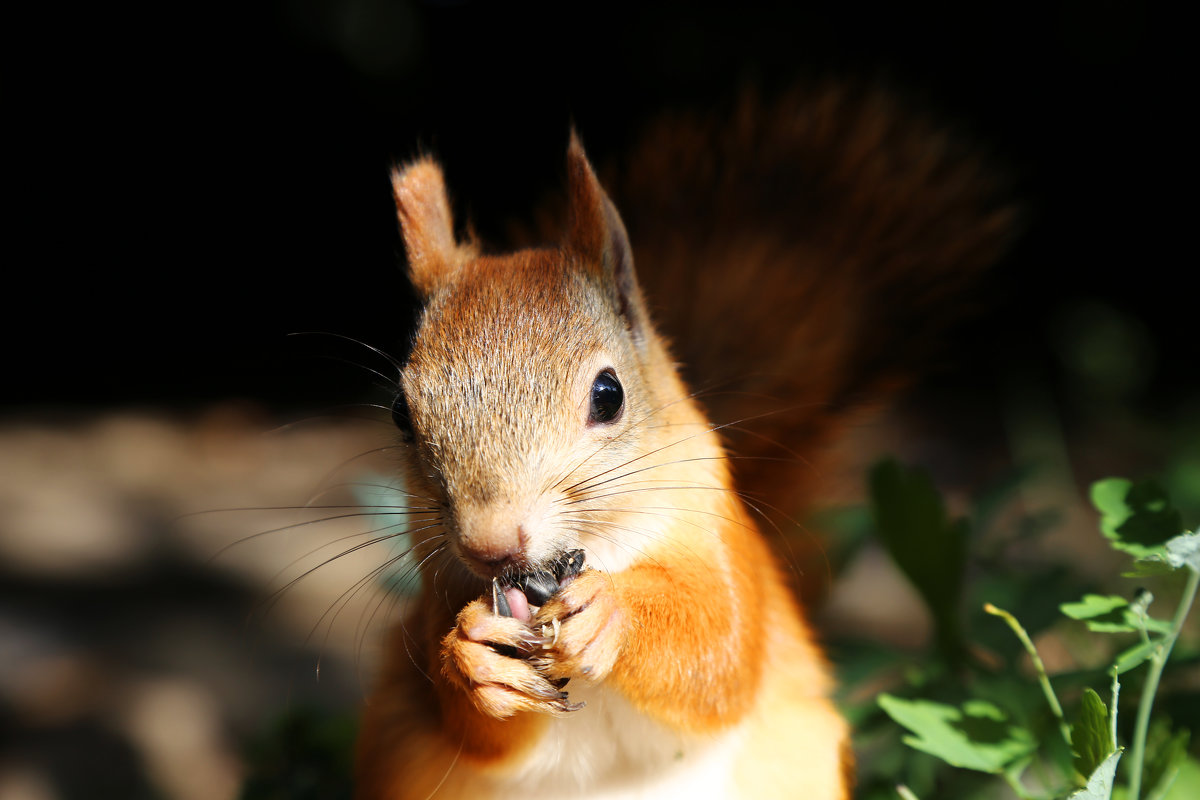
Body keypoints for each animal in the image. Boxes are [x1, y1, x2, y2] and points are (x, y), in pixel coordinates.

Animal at [352, 82, 1012, 800]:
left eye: (608, 394)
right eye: (400, 413)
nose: (491, 543)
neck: (599, 547)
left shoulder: (723, 540)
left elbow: (720, 650)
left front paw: (615, 613)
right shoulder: (437, 588)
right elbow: (466, 723)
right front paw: (472, 655)